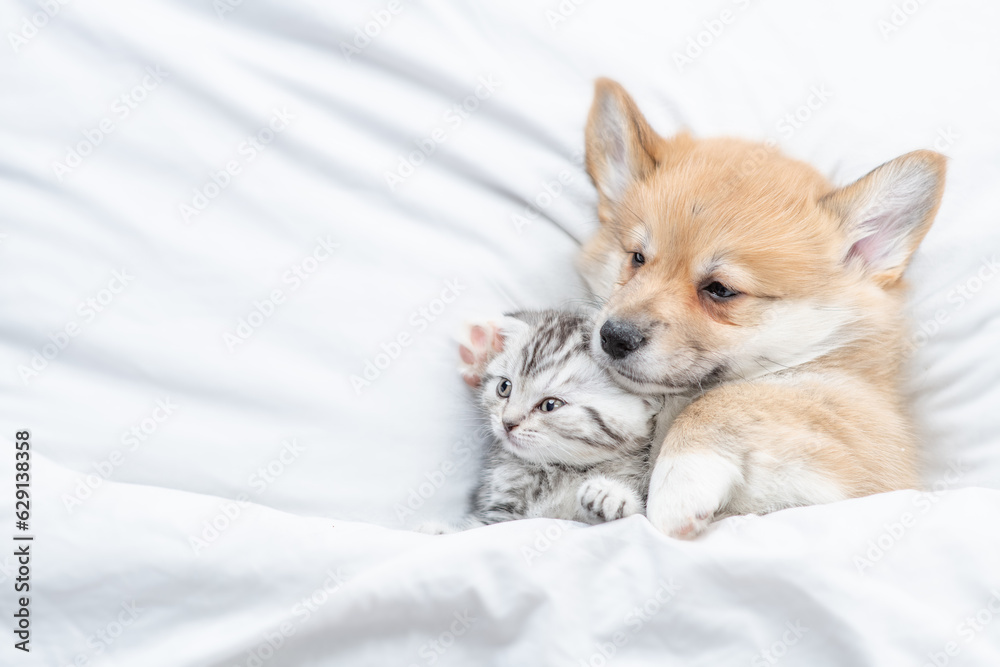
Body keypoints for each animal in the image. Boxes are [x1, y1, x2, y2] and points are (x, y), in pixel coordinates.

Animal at [420, 310, 660, 536]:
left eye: (550, 405)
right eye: (504, 387)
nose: (507, 423)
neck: (559, 471)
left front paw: (611, 495)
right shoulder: (500, 510)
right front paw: (437, 532)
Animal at [580, 77, 944, 536]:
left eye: (720, 289)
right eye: (638, 258)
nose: (614, 337)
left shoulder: (854, 440)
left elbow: (730, 399)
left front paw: (676, 487)